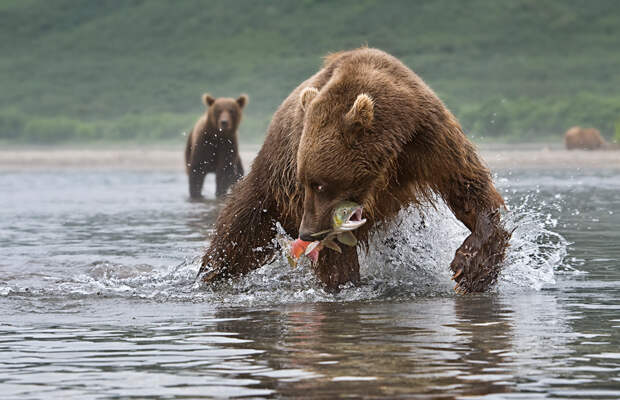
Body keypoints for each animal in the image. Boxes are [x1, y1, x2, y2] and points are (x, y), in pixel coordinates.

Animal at [197, 47, 508, 294]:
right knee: (235, 238)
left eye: (320, 183)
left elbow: (468, 187)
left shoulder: (428, 138)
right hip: (266, 187)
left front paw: (470, 269)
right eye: (304, 180)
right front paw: (343, 282)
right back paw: (209, 275)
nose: (307, 233)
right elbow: (335, 253)